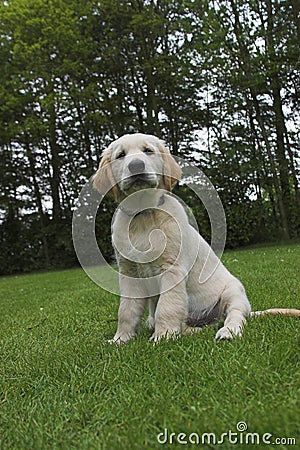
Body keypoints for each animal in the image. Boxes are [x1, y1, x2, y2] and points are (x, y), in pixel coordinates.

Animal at [93, 132, 251, 342]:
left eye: (148, 151)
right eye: (121, 155)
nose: (136, 166)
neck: (143, 213)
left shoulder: (172, 269)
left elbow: (167, 306)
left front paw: (163, 337)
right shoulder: (129, 273)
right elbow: (126, 310)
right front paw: (121, 339)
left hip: (234, 291)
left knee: (235, 313)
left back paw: (227, 331)